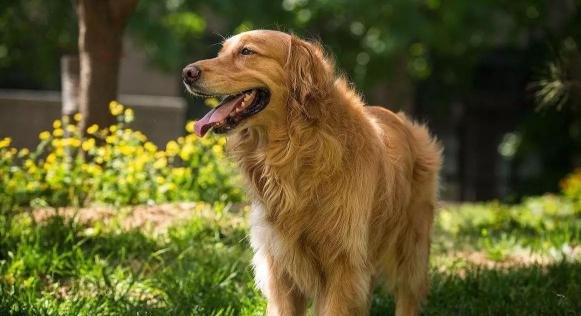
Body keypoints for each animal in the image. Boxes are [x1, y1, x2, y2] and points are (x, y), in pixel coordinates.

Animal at [184, 30, 442, 316]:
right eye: (221, 52)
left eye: (247, 51)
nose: (187, 73)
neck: (295, 149)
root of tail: (404, 121)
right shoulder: (280, 267)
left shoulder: (343, 266)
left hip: (412, 249)